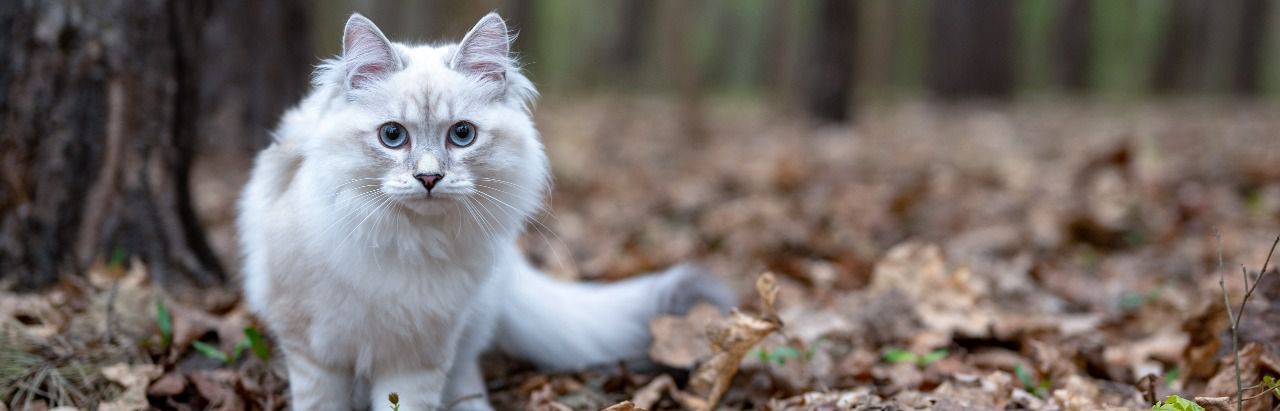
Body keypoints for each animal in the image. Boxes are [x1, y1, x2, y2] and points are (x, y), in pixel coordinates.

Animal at [239, 12, 737, 409]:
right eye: (392, 136)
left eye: (462, 135)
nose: (429, 178)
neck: (411, 244)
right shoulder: (313, 352)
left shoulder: (419, 357)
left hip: (463, 339)